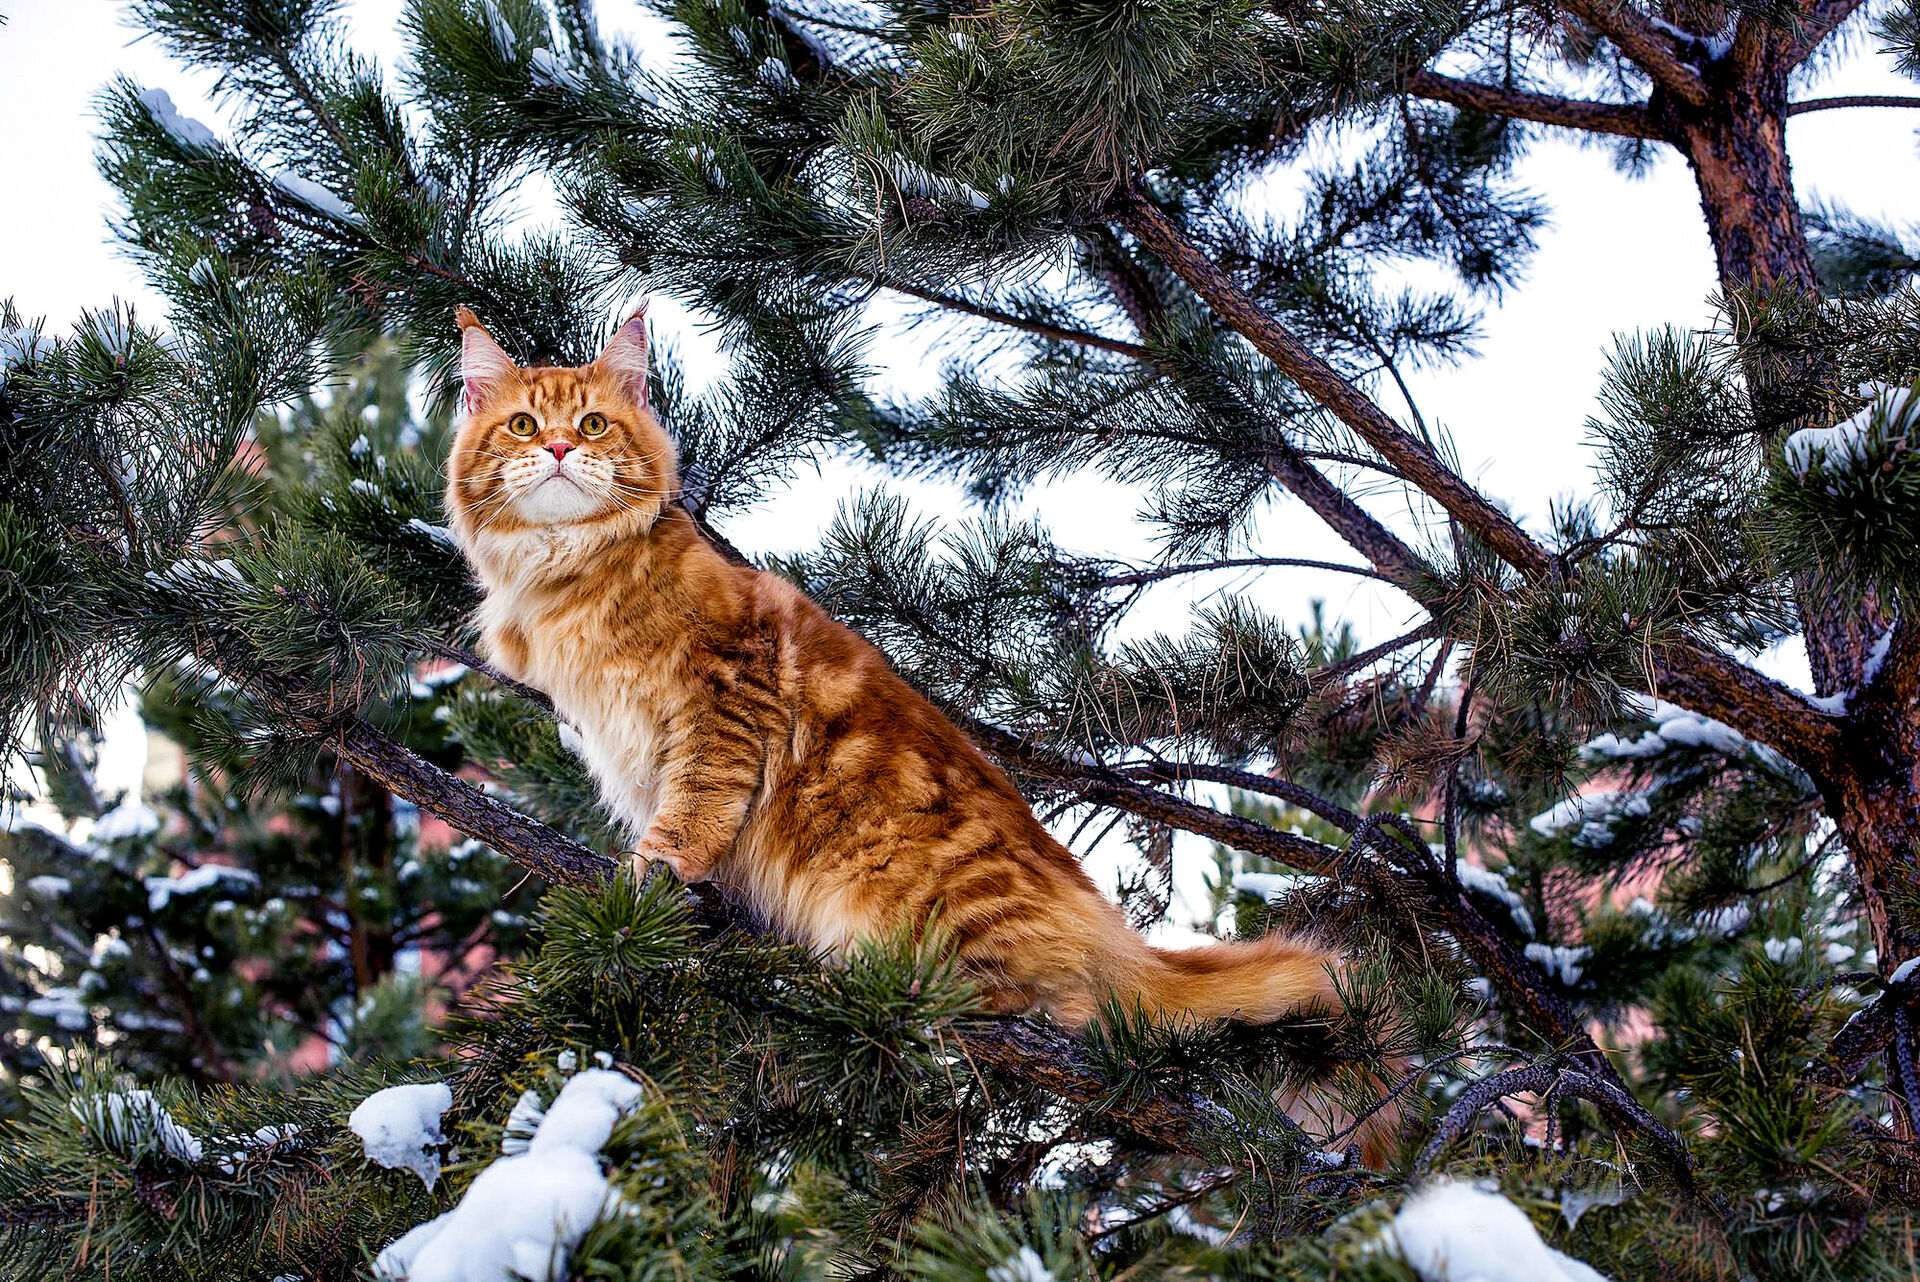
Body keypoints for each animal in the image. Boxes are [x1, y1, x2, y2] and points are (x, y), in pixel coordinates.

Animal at [443, 305, 1390, 1159]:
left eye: (593, 423)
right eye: (524, 425)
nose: (559, 450)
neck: (572, 577)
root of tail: (1113, 933)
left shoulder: (726, 697)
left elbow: (693, 814)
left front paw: (649, 881)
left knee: (1063, 1011)